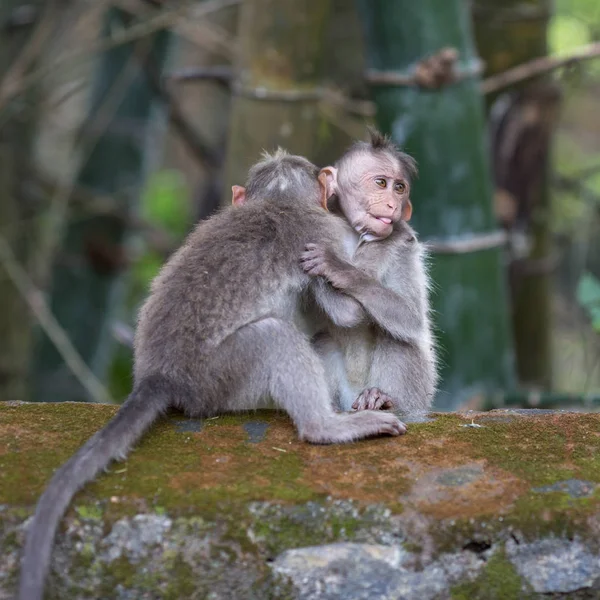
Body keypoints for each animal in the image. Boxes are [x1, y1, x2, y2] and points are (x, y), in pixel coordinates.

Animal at [18, 149, 406, 600]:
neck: (279, 202)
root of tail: (159, 376)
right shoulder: (329, 233)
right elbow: (345, 313)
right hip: (220, 379)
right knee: (272, 336)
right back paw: (326, 427)